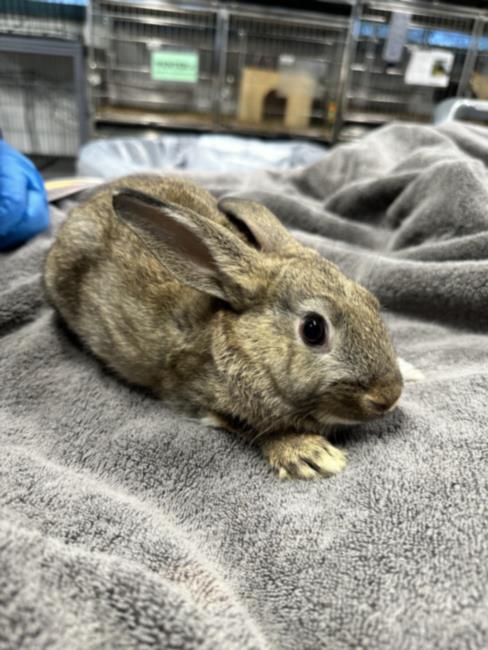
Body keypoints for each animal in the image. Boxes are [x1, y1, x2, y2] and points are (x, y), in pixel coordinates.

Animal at [43, 175, 402, 478]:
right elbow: (257, 429)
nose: (389, 396)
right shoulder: (200, 398)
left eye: (371, 302)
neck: (247, 346)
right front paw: (309, 454)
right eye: (313, 329)